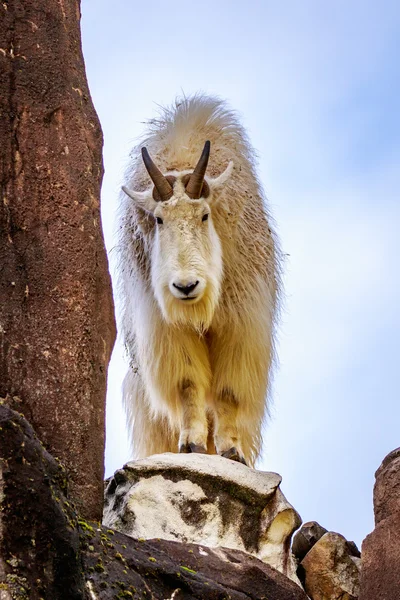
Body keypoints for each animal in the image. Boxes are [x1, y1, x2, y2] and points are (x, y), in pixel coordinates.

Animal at [118, 95, 282, 468]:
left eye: (204, 215)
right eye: (159, 220)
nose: (186, 286)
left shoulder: (241, 324)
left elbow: (228, 391)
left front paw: (231, 451)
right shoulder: (168, 330)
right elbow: (188, 384)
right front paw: (190, 445)